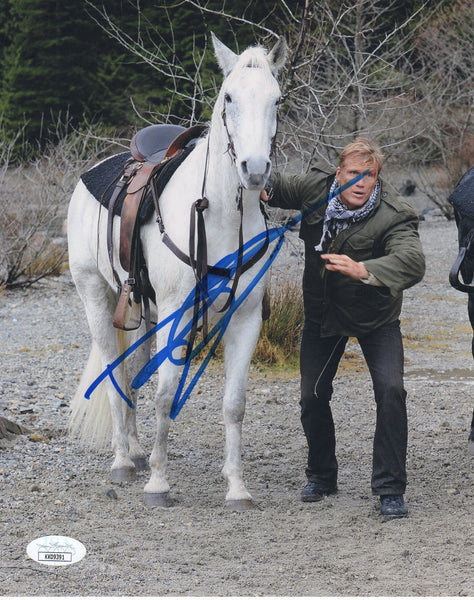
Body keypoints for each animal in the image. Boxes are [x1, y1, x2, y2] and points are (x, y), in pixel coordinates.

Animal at [68, 34, 286, 506]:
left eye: (277, 99)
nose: (255, 170)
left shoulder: (245, 318)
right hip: (97, 296)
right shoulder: (176, 313)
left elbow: (234, 403)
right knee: (114, 371)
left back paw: (134, 449)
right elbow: (166, 395)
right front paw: (158, 483)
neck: (221, 213)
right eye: (229, 97)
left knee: (132, 372)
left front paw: (237, 486)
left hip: (143, 311)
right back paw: (122, 461)